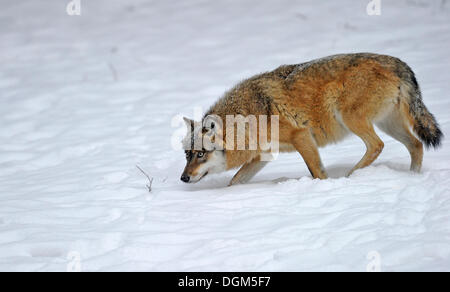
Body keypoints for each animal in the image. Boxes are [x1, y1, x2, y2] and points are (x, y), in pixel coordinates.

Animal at [180, 53, 442, 185]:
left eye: (201, 154)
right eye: (187, 155)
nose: (183, 178)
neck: (250, 116)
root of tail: (399, 63)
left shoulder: (302, 136)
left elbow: (316, 171)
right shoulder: (264, 154)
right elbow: (235, 181)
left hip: (352, 119)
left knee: (377, 145)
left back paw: (352, 176)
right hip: (388, 124)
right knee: (416, 145)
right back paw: (412, 176)